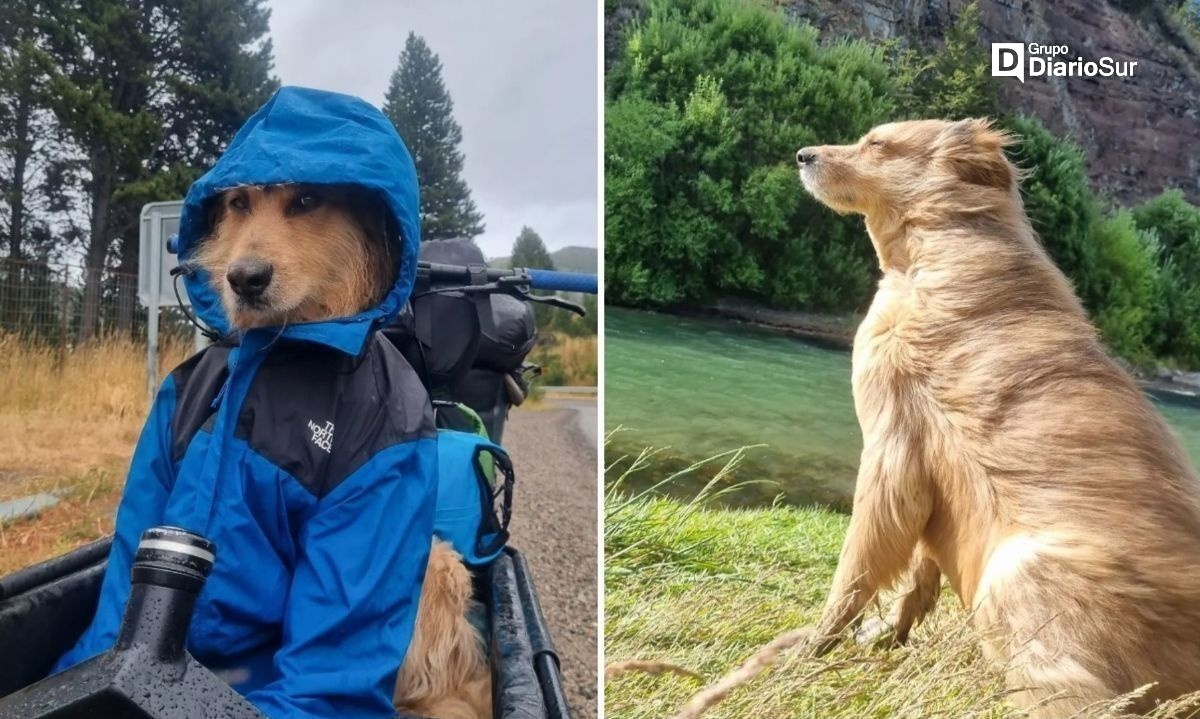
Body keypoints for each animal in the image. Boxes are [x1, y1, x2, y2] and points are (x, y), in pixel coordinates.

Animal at [796, 118, 1200, 715]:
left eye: (878, 143)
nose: (802, 154)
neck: (935, 250)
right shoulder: (924, 483)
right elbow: (917, 576)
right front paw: (890, 634)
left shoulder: (891, 451)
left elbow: (853, 576)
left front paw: (810, 648)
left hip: (1015, 571)